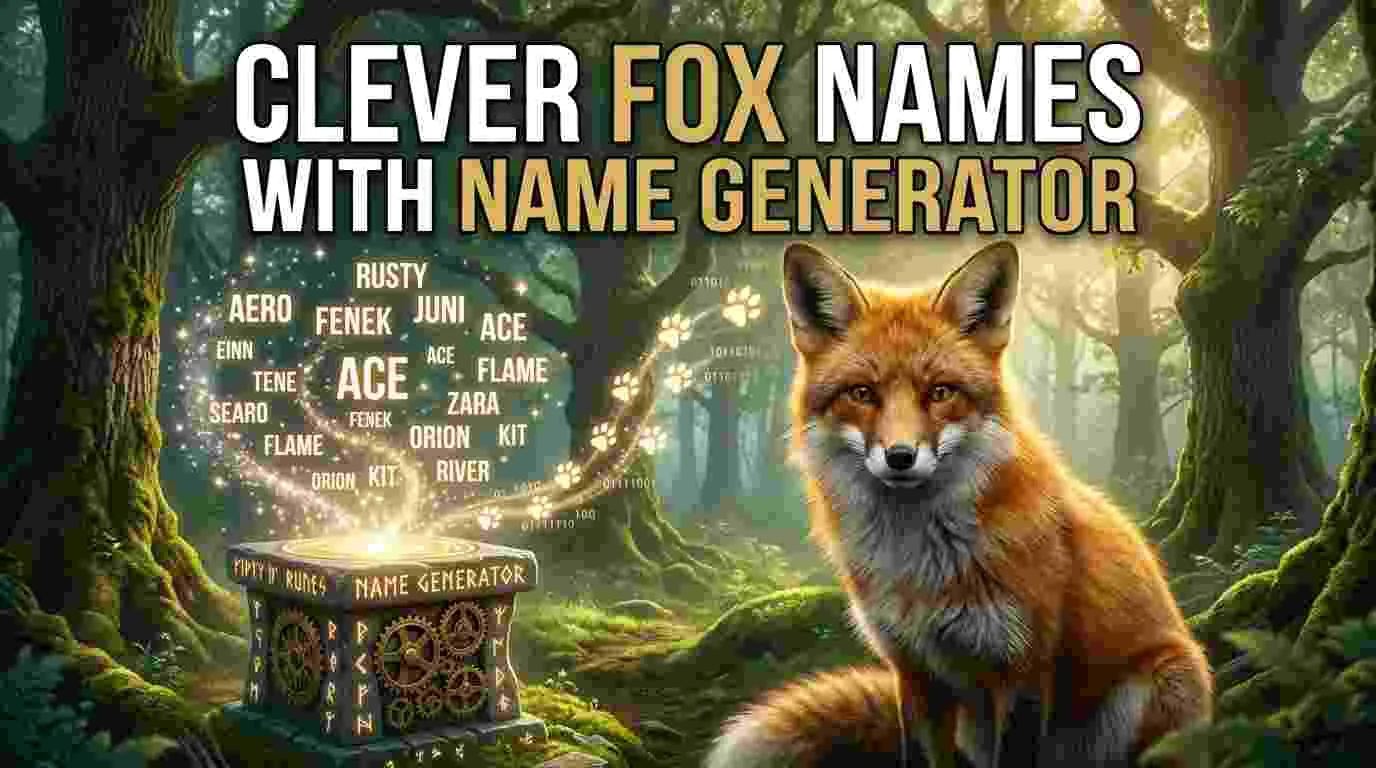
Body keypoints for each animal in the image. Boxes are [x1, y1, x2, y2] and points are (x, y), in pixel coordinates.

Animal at [703, 241, 1211, 768]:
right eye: (862, 393)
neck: (923, 567)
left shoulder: (1023, 668)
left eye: (940, 392)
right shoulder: (913, 670)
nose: (900, 456)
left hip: (1158, 688)